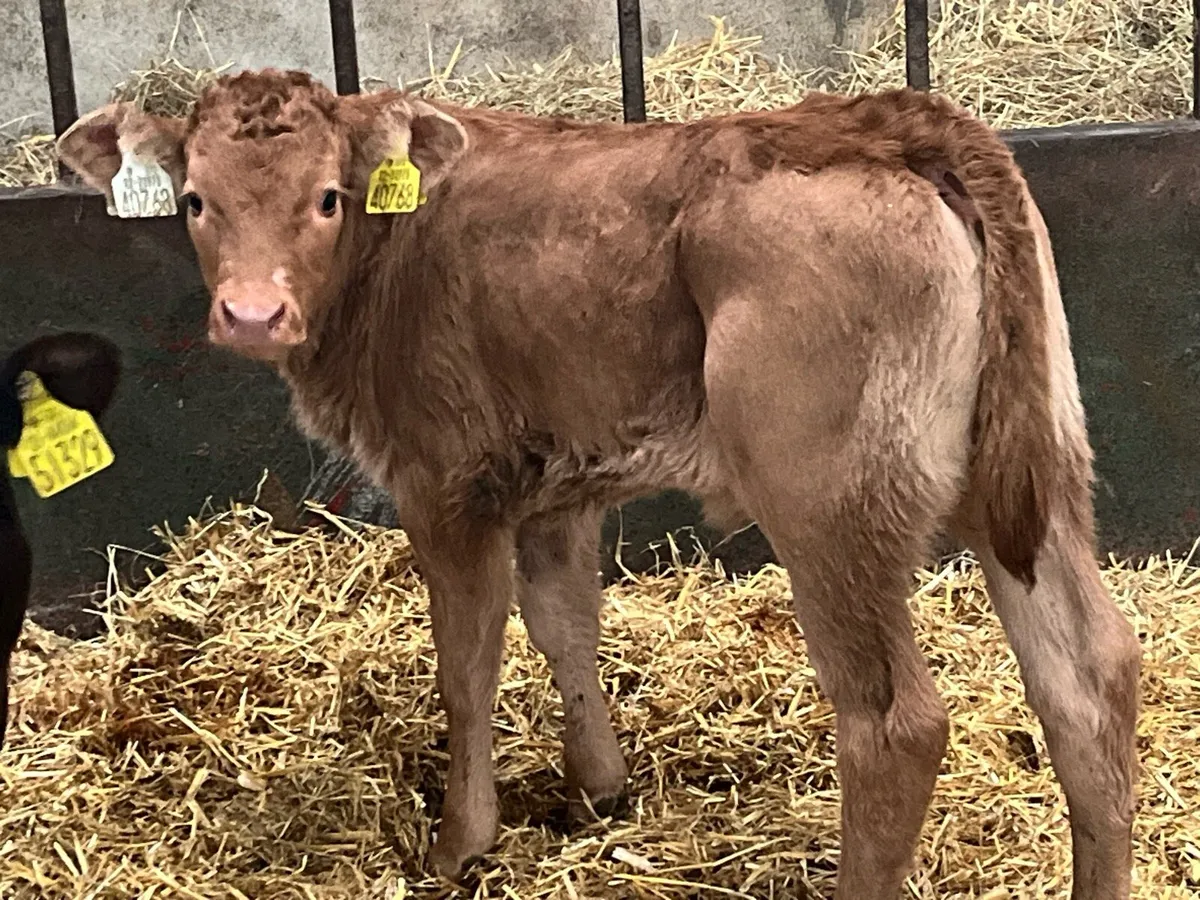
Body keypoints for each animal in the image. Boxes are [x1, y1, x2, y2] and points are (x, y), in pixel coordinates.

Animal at [56, 70, 1140, 899]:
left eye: (327, 197)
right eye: (196, 200)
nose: (251, 312)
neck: (393, 251)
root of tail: (878, 118)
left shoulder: (445, 478)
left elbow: (468, 662)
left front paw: (462, 843)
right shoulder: (557, 485)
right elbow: (566, 623)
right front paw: (597, 791)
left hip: (833, 504)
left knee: (895, 725)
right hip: (1034, 475)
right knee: (1090, 674)